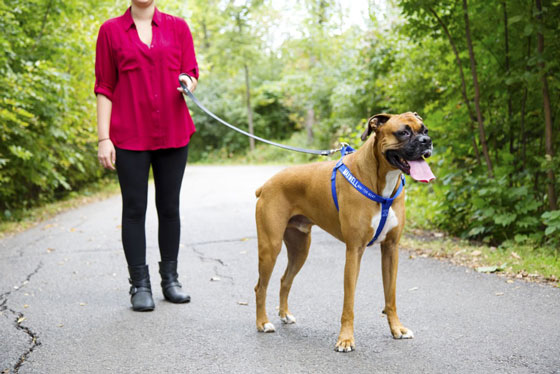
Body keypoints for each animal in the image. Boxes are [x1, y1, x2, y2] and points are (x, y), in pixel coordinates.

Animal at [253, 112, 434, 352]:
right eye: (403, 132)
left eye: (425, 130)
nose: (427, 141)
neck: (381, 181)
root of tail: (265, 185)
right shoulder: (354, 250)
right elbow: (349, 302)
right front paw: (346, 339)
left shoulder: (390, 249)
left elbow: (391, 296)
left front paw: (397, 329)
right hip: (270, 248)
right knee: (260, 287)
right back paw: (263, 323)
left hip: (300, 249)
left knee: (285, 280)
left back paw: (285, 315)